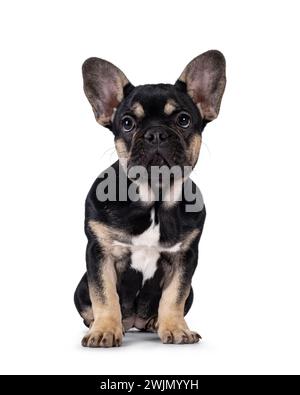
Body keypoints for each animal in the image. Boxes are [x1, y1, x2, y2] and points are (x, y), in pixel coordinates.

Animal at [74, 50, 225, 350]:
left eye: (183, 120)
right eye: (127, 123)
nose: (156, 133)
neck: (154, 197)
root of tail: (135, 322)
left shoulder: (185, 257)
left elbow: (174, 296)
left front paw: (175, 328)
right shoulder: (99, 253)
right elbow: (104, 296)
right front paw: (104, 329)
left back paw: (156, 323)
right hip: (80, 286)